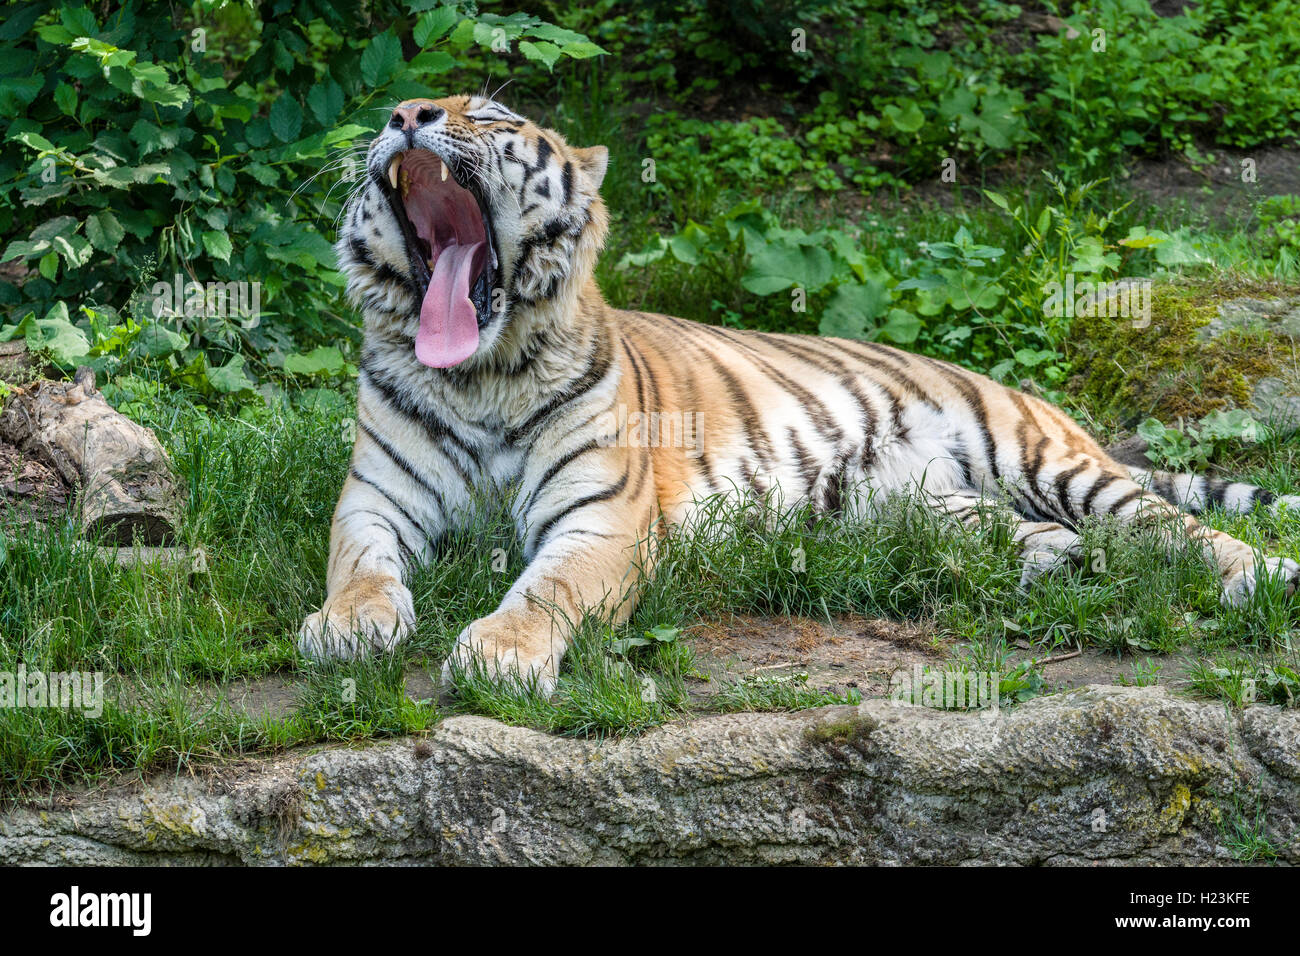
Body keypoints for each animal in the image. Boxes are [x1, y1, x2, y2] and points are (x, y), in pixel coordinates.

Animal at [299, 97, 1300, 691]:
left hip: (1043, 457)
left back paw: (1261, 576)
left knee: (1172, 529)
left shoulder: (599, 518)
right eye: (410, 107)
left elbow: (547, 589)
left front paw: (500, 654)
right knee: (1023, 534)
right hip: (910, 508)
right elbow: (358, 569)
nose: (406, 112)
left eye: (491, 114)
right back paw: (1048, 562)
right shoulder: (375, 502)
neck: (484, 374)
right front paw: (347, 630)